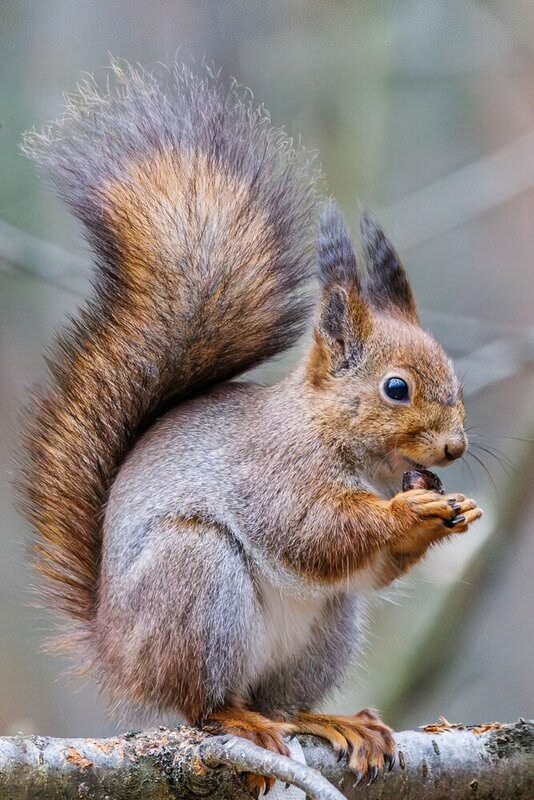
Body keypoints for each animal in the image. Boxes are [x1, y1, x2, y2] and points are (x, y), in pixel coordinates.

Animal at [19, 61, 482, 789]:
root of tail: (114, 648)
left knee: (284, 699)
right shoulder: (274, 470)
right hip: (195, 580)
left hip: (329, 627)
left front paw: (449, 513)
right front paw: (407, 511)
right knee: (203, 702)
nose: (456, 448)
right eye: (396, 388)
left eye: (457, 383)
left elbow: (369, 566)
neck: (331, 436)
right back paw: (239, 722)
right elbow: (313, 531)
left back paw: (331, 721)